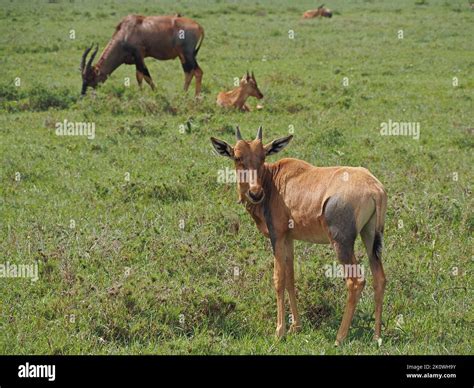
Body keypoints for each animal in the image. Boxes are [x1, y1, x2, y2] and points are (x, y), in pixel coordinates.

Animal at [212, 126, 388, 344]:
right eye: (237, 157)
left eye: (263, 156)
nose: (255, 193)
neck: (274, 181)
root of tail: (375, 189)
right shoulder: (289, 238)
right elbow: (290, 277)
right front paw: (296, 326)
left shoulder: (277, 236)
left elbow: (278, 279)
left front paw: (279, 331)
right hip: (370, 236)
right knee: (380, 278)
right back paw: (376, 336)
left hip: (342, 243)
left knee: (356, 281)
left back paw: (339, 338)